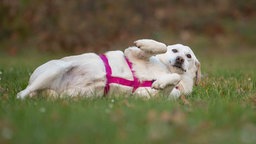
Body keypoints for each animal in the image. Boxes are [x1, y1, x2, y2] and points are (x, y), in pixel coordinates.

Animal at [17, 38, 201, 99]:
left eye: (189, 56)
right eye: (175, 50)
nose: (180, 59)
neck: (167, 69)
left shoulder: (144, 96)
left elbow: (171, 81)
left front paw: (160, 82)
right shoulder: (132, 53)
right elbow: (160, 45)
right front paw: (144, 43)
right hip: (55, 69)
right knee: (22, 93)